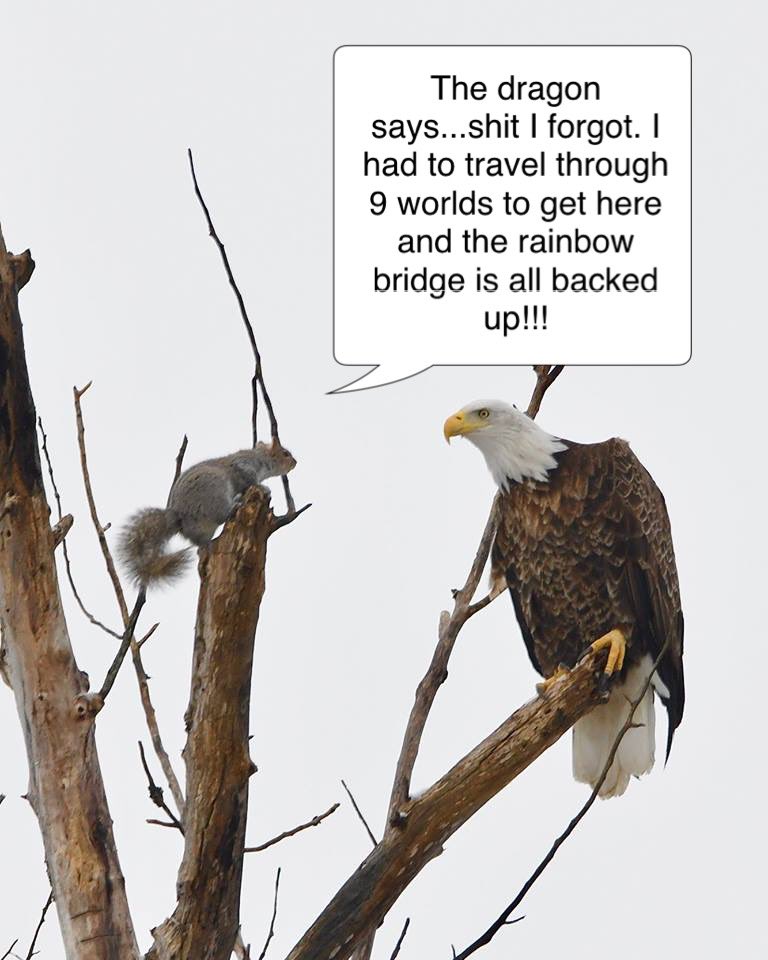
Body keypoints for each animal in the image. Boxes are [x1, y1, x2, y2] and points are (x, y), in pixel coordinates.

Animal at [118, 441, 296, 586]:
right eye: (285, 453)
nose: (295, 463)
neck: (260, 456)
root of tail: (178, 517)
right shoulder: (244, 466)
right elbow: (250, 480)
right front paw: (264, 488)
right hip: (214, 492)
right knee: (222, 514)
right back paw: (235, 504)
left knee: (200, 544)